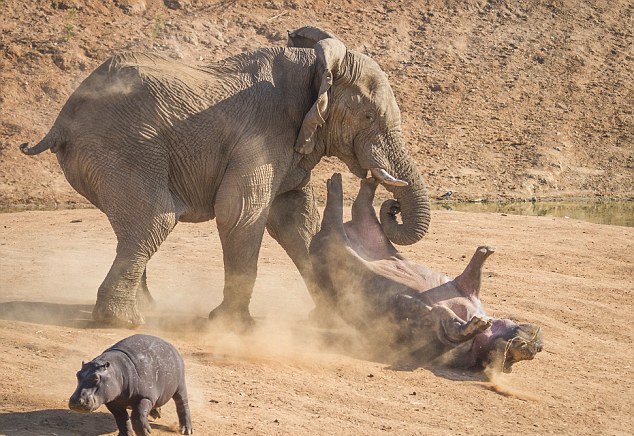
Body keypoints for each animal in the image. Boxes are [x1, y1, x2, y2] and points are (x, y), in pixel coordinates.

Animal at [22, 26, 432, 328]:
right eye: (369, 117)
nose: (389, 201)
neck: (316, 65)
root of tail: (61, 120)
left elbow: (296, 218)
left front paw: (331, 318)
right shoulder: (262, 132)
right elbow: (241, 212)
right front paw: (234, 326)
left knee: (136, 227)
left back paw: (146, 310)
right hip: (122, 148)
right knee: (155, 220)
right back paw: (123, 322)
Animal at [308, 174, 540, 372]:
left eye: (516, 355)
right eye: (522, 352)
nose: (537, 345)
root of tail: (316, 239)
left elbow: (445, 322)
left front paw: (478, 323)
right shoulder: (463, 287)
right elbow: (470, 278)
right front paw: (486, 250)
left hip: (335, 243)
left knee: (340, 214)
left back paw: (337, 182)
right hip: (354, 232)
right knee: (357, 206)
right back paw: (351, 181)